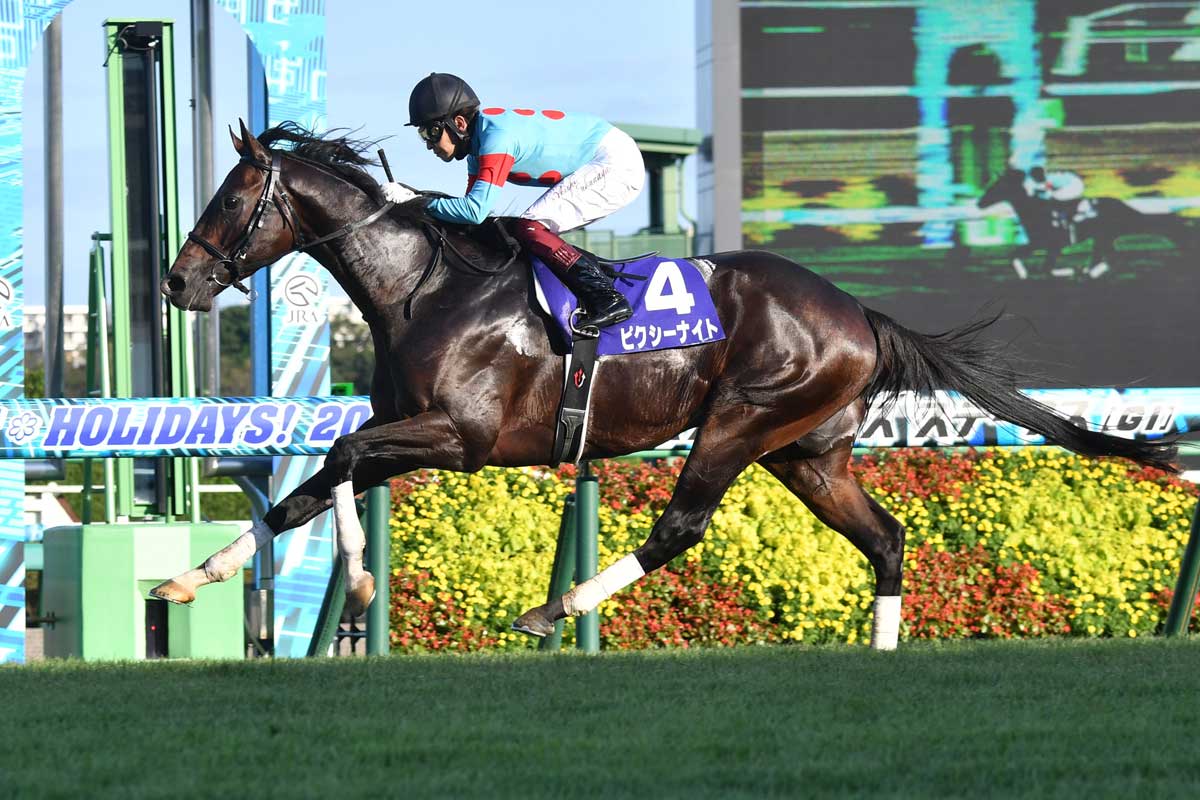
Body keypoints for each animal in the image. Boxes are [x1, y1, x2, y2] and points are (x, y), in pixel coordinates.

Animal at [976, 167, 1193, 280]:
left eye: (996, 187)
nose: (979, 203)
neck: (1037, 211)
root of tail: (1124, 207)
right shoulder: (1039, 243)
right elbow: (1017, 255)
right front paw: (1023, 273)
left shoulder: (1051, 244)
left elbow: (1045, 267)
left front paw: (1068, 271)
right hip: (1102, 237)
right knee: (1108, 256)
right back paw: (1091, 271)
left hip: (1105, 235)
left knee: (1110, 257)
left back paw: (1091, 272)